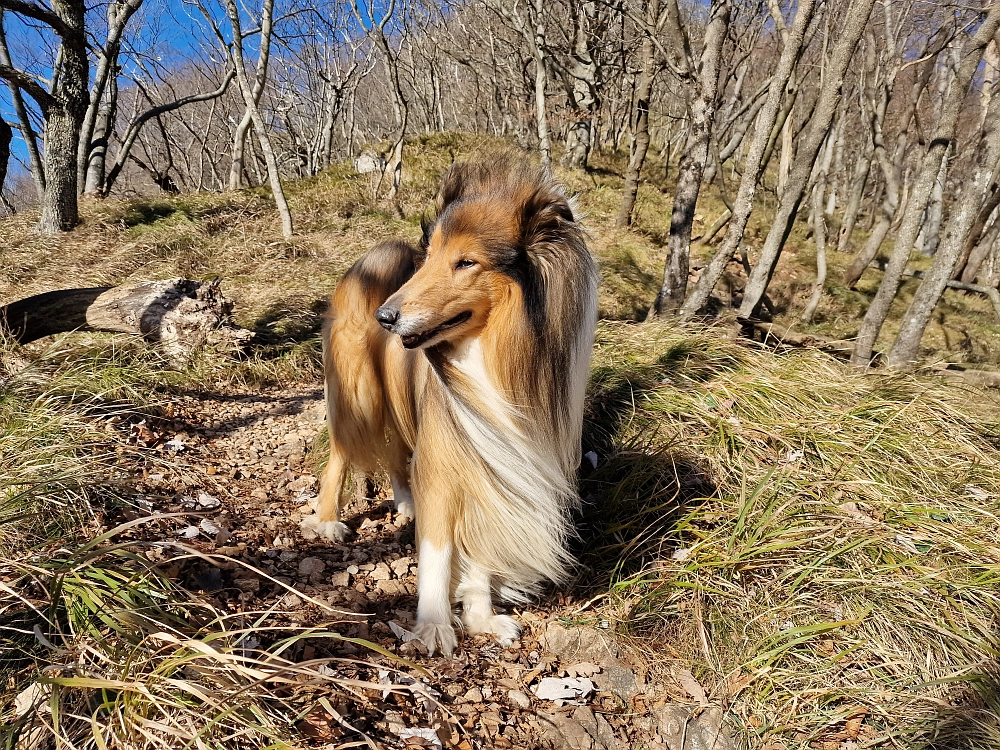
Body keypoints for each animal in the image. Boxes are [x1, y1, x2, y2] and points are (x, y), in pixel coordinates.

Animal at [300, 154, 596, 656]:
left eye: (467, 262)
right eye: (432, 255)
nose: (386, 317)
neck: (489, 354)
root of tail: (379, 251)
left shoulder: (491, 461)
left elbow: (477, 553)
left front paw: (481, 616)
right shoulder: (446, 457)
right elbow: (437, 554)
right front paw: (434, 626)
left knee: (397, 453)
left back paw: (405, 500)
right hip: (359, 396)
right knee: (338, 457)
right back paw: (328, 520)